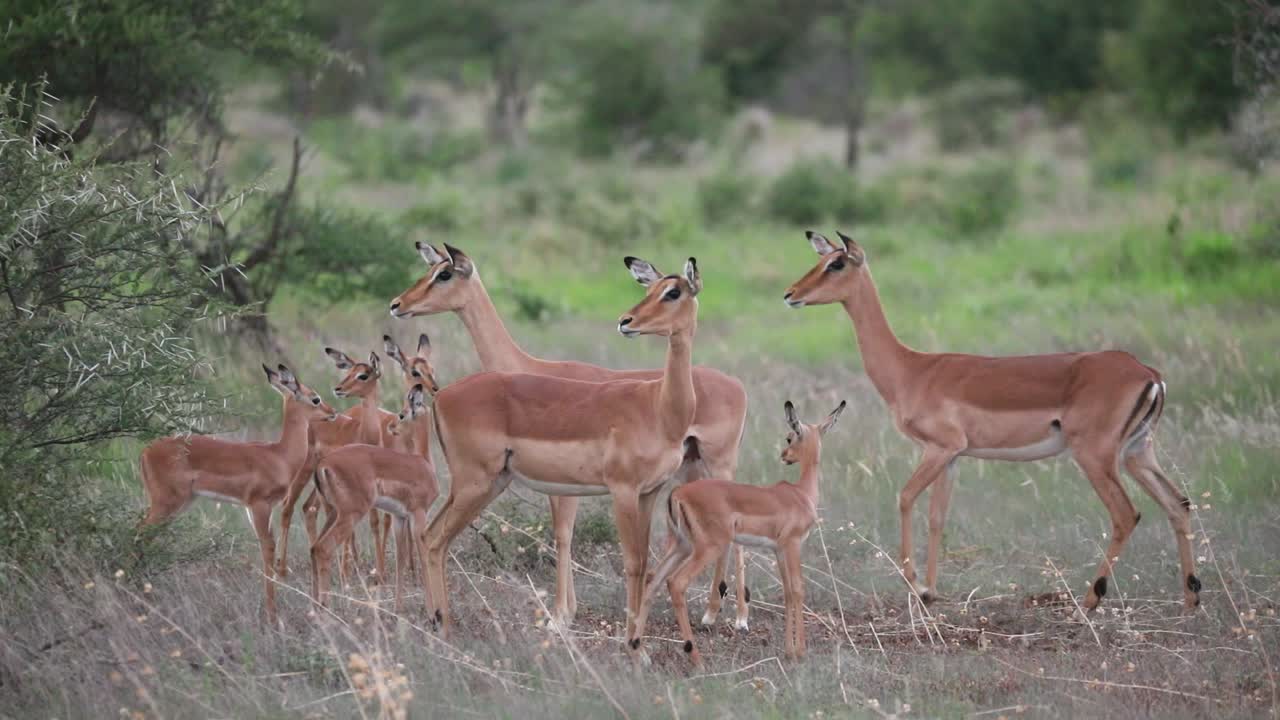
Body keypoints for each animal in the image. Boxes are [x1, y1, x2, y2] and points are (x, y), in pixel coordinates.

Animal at [138, 364, 337, 623]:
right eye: (315, 398)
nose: (333, 412)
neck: (280, 455)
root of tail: (145, 452)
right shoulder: (259, 505)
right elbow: (268, 548)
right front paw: (273, 616)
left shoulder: (256, 508)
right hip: (165, 503)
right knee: (139, 533)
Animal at [310, 384, 439, 614]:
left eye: (402, 413)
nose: (392, 427)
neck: (423, 463)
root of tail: (323, 464)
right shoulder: (418, 514)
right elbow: (423, 555)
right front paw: (433, 614)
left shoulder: (400, 518)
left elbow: (400, 559)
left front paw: (398, 609)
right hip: (351, 514)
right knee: (324, 548)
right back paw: (326, 608)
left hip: (334, 513)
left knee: (314, 548)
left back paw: (316, 606)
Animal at [389, 242, 750, 630]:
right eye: (649, 289)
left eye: (444, 273)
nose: (397, 303)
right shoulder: (593, 489)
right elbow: (574, 539)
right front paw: (565, 616)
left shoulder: (607, 490)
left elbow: (579, 541)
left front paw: (562, 616)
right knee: (431, 537)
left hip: (714, 465)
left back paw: (734, 617)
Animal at [633, 400, 846, 665]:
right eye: (789, 437)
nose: (784, 456)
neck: (801, 494)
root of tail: (678, 493)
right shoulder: (793, 545)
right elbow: (798, 590)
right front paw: (801, 652)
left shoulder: (778, 550)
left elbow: (787, 592)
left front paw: (789, 651)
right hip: (709, 547)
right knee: (676, 582)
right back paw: (696, 657)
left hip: (683, 546)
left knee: (653, 579)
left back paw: (638, 650)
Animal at [783, 230, 1200, 611]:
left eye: (836, 263)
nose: (790, 293)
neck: (911, 370)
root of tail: (1147, 373)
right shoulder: (952, 457)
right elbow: (937, 517)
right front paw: (932, 592)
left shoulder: (939, 449)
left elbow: (904, 498)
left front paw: (918, 587)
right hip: (1137, 452)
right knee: (1178, 503)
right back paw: (1190, 601)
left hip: (1096, 457)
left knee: (1126, 514)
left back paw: (1089, 601)